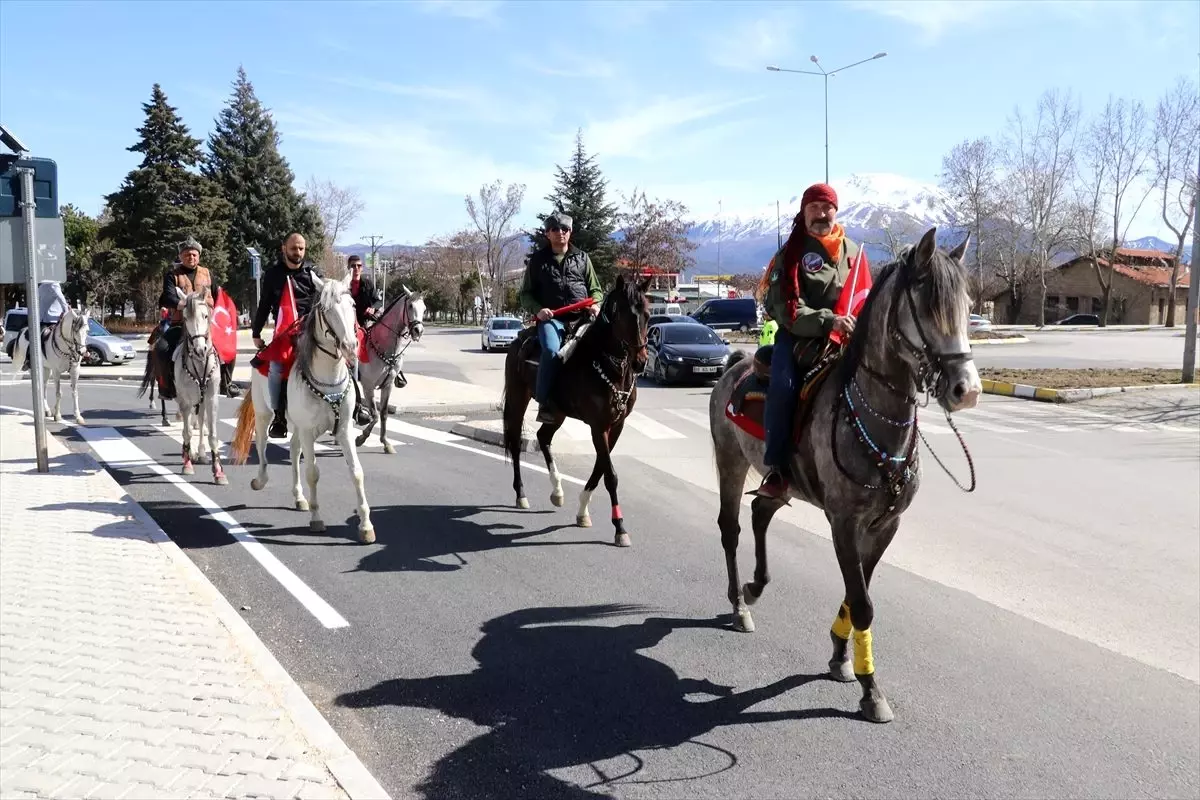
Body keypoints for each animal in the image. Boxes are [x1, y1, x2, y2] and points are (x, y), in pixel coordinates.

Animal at [172, 291, 225, 484]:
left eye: (205, 316)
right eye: (186, 317)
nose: (200, 349)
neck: (200, 363)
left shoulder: (211, 398)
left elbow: (212, 434)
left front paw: (219, 472)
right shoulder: (185, 401)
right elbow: (187, 432)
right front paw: (187, 465)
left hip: (201, 401)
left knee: (201, 423)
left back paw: (201, 453)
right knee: (189, 427)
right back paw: (189, 454)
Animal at [226, 273, 372, 544]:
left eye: (353, 305)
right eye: (326, 309)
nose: (350, 345)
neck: (328, 380)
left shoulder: (344, 430)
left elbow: (356, 472)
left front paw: (366, 525)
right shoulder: (308, 431)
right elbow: (313, 472)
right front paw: (317, 519)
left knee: (293, 451)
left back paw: (299, 497)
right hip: (265, 415)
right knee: (262, 446)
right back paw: (260, 480)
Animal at [350, 286, 427, 450]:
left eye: (424, 309)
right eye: (410, 306)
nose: (418, 330)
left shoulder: (388, 385)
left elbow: (383, 414)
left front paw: (385, 442)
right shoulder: (368, 386)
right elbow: (374, 415)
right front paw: (361, 438)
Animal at [501, 272, 652, 546]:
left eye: (647, 314)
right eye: (622, 314)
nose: (641, 362)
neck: (607, 366)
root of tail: (519, 338)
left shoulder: (616, 426)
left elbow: (601, 468)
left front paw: (582, 511)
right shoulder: (598, 426)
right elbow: (610, 475)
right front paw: (620, 527)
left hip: (558, 413)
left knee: (543, 437)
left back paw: (557, 491)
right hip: (518, 399)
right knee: (516, 443)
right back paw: (521, 495)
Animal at [705, 226, 979, 724]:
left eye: (968, 305)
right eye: (928, 304)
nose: (966, 390)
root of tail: (735, 364)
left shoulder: (885, 525)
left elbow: (858, 594)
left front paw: (839, 656)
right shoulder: (844, 524)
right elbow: (863, 602)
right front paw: (871, 690)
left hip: (781, 480)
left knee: (761, 511)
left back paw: (755, 588)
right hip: (730, 462)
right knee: (731, 528)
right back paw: (739, 604)